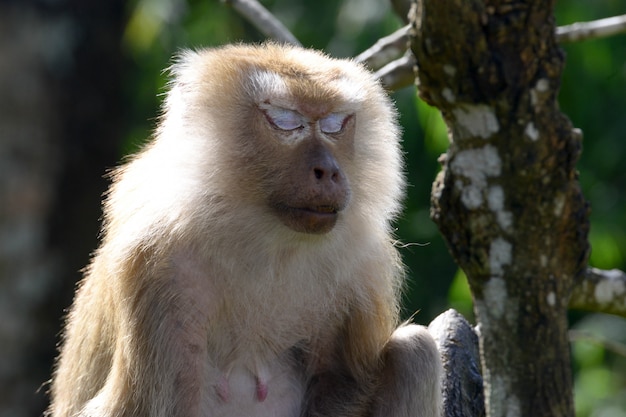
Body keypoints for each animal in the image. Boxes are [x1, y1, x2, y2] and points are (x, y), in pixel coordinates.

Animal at [47, 43, 438, 416]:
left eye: (335, 125)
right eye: (286, 122)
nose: (328, 171)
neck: (267, 242)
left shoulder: (363, 263)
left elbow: (342, 382)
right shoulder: (158, 264)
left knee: (414, 352)